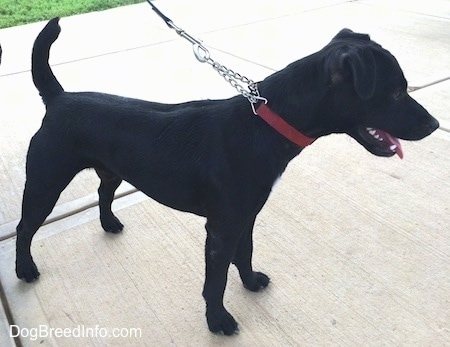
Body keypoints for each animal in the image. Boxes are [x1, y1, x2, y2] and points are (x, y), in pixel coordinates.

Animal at [15, 17, 438, 336]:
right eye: (396, 93)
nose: (435, 124)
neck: (264, 123)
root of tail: (59, 99)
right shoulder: (222, 227)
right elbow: (215, 280)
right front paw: (217, 320)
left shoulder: (246, 216)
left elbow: (245, 253)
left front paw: (249, 282)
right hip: (46, 180)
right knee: (25, 226)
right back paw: (24, 269)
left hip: (110, 170)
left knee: (104, 192)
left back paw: (109, 223)